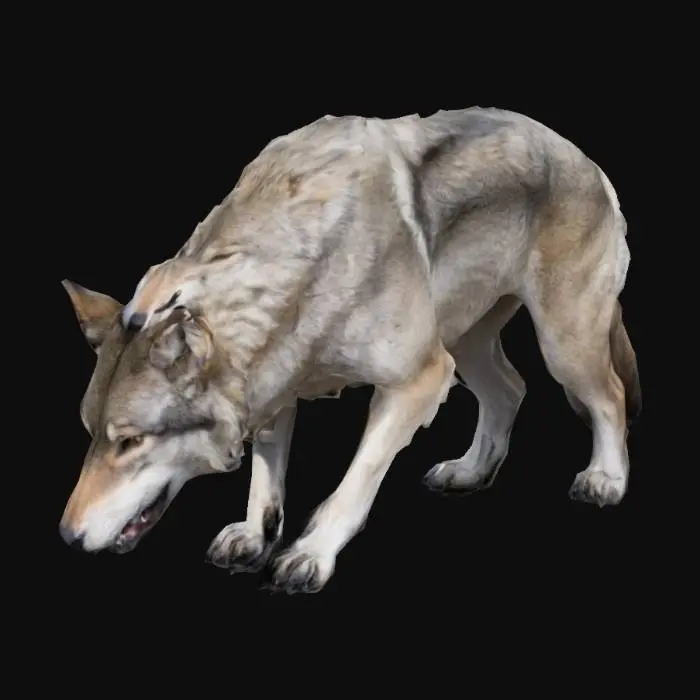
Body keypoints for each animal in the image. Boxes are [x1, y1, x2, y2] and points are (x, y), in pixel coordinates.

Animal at [59, 107, 641, 594]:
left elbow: (354, 482)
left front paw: (311, 553)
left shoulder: (418, 380)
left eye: (130, 442)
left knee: (608, 395)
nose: (66, 537)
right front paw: (255, 534)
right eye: (91, 436)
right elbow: (266, 474)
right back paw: (471, 472)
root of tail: (587, 162)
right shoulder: (277, 380)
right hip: (465, 343)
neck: (303, 263)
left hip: (560, 343)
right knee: (510, 390)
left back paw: (607, 479)